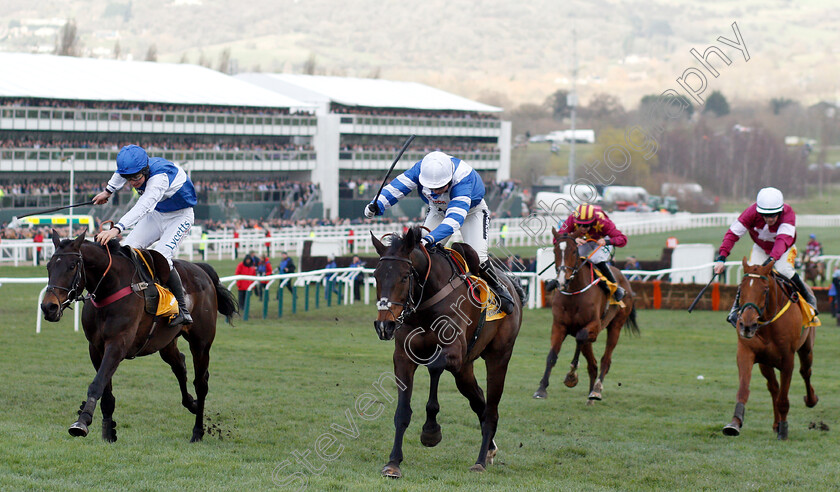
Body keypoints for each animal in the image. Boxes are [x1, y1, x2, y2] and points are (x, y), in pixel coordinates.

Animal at [40, 231, 238, 442]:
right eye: (48, 266)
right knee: (179, 365)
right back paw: (191, 403)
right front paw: (108, 431)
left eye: (71, 266)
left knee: (201, 383)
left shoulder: (118, 344)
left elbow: (97, 383)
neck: (110, 287)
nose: (48, 307)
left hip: (201, 343)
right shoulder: (95, 347)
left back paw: (198, 431)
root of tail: (202, 270)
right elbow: (106, 390)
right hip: (166, 342)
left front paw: (81, 422)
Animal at [370, 227, 520, 476]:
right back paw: (490, 448)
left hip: (499, 357)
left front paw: (431, 431)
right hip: (465, 370)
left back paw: (480, 461)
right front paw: (393, 463)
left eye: (404, 276)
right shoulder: (403, 358)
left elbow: (434, 368)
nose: (384, 326)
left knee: (491, 410)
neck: (426, 301)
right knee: (479, 401)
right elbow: (402, 411)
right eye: (376, 276)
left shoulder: (454, 353)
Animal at [536, 229, 640, 402]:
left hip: (616, 326)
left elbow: (580, 337)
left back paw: (596, 390)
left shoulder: (593, 326)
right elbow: (552, 355)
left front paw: (571, 375)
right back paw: (590, 395)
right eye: (555, 251)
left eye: (573, 251)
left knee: (605, 360)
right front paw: (541, 389)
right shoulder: (559, 325)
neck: (574, 293)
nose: (561, 280)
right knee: (593, 364)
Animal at [724, 258, 816, 438]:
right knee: (774, 387)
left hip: (806, 348)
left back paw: (810, 400)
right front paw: (734, 423)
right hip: (765, 363)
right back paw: (776, 424)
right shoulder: (746, 352)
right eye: (740, 288)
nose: (747, 325)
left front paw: (784, 430)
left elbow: (784, 398)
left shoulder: (788, 359)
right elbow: (743, 389)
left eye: (765, 290)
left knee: (805, 372)